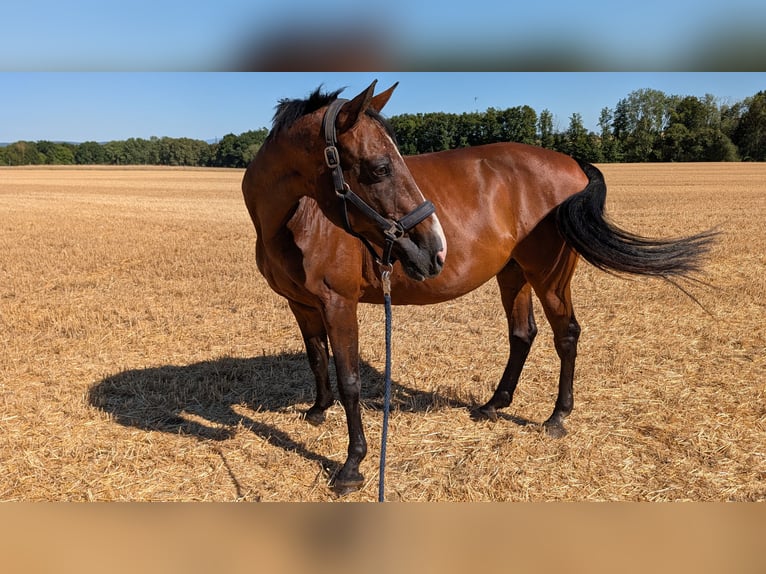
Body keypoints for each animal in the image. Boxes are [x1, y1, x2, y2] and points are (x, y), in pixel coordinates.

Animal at [241, 80, 716, 493]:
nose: (434, 249)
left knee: (566, 335)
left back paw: (557, 416)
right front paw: (318, 410)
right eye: (380, 168)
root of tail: (573, 163)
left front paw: (352, 464)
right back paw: (494, 403)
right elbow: (316, 358)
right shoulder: (302, 305)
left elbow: (350, 379)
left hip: (549, 276)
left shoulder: (339, 304)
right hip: (514, 273)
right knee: (523, 333)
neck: (295, 219)